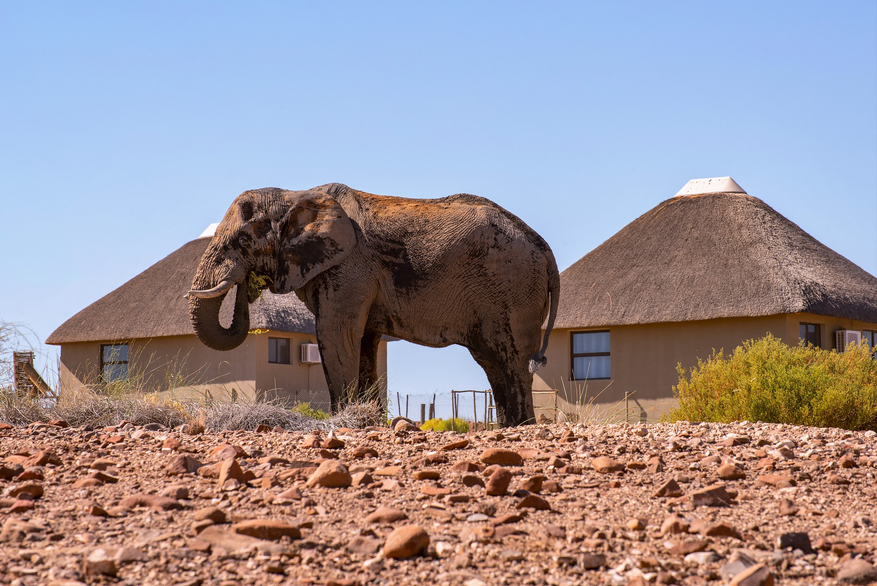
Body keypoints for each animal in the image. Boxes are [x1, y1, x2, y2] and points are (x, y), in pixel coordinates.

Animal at [186, 185, 560, 426]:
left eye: (241, 240)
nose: (247, 284)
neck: (292, 194)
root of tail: (544, 248)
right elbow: (364, 341)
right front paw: (368, 419)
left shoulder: (350, 267)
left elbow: (336, 334)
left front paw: (345, 419)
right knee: (493, 361)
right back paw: (510, 426)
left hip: (513, 286)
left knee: (512, 360)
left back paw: (523, 426)